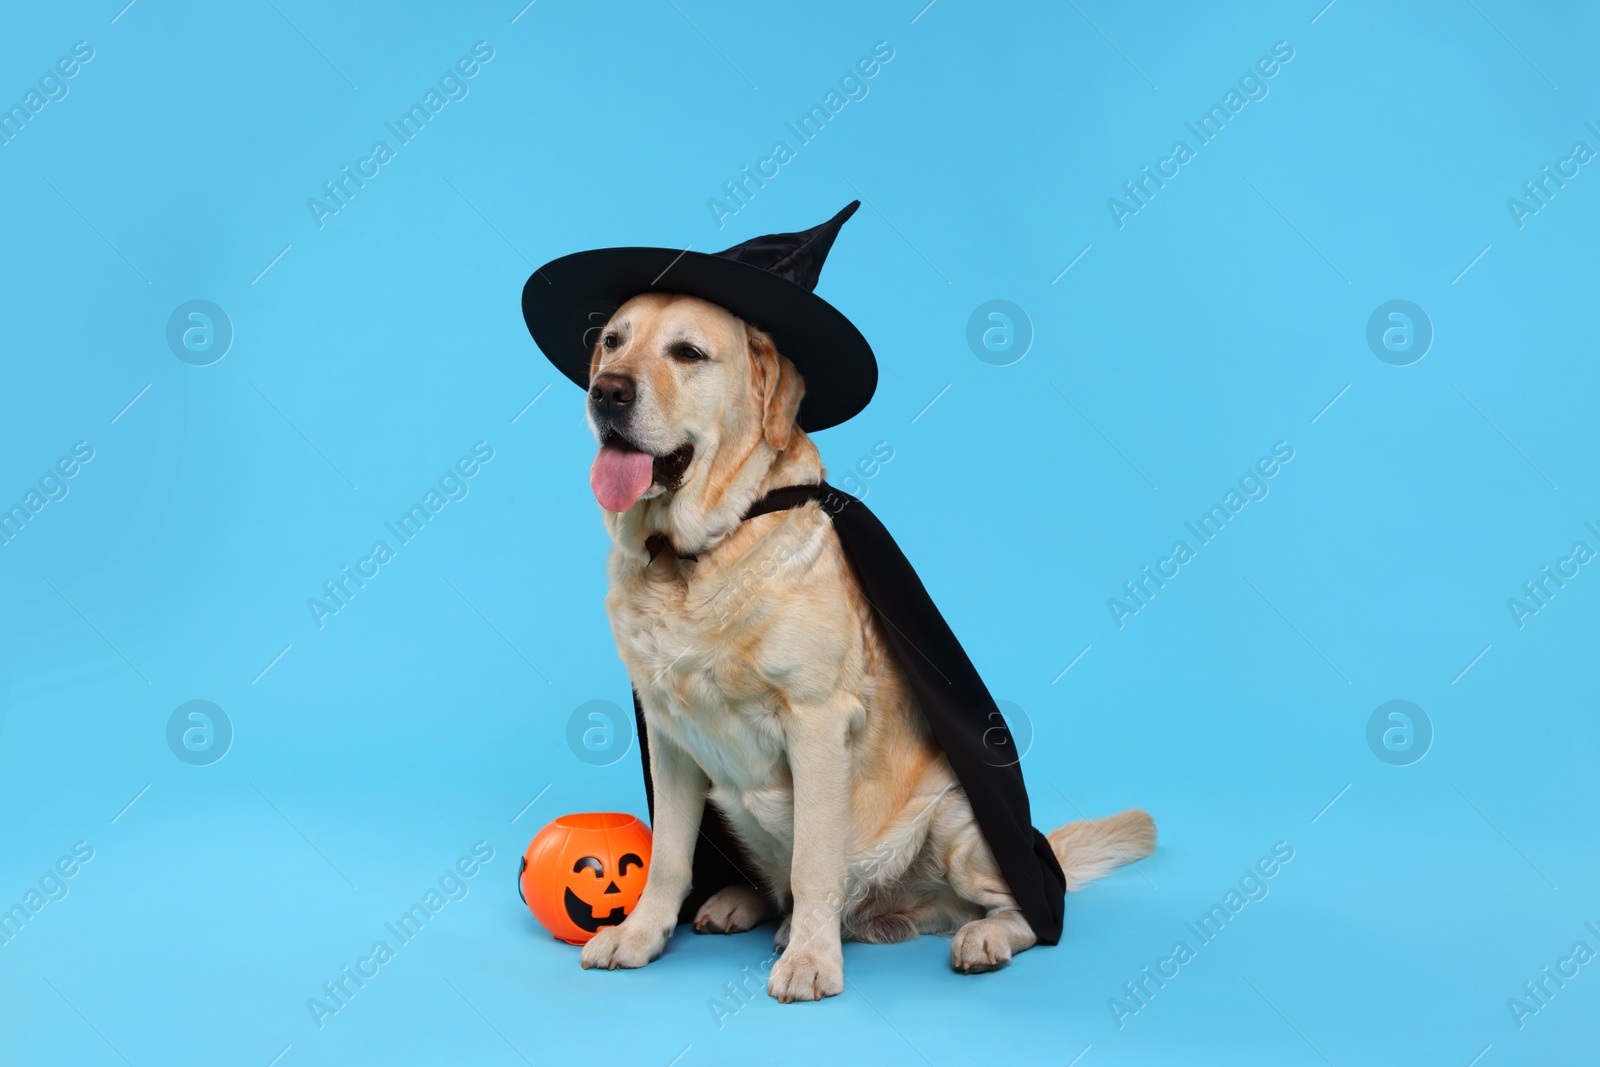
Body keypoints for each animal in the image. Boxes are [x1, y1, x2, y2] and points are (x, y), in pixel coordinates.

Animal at [576, 292, 1152, 1004]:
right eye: (611, 342)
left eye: (688, 353)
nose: (606, 392)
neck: (691, 557)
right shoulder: (669, 734)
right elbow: (668, 858)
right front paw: (640, 934)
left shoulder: (817, 722)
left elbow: (814, 865)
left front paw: (810, 959)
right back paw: (744, 902)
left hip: (958, 824)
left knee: (1017, 907)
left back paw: (980, 937)